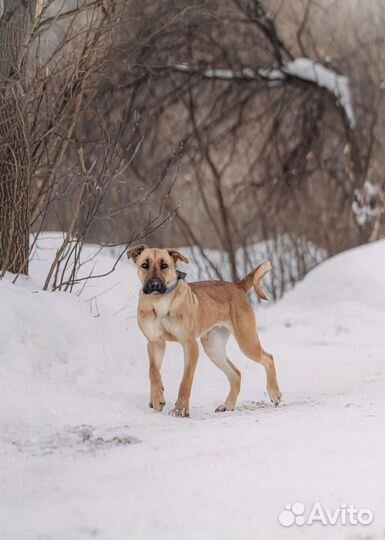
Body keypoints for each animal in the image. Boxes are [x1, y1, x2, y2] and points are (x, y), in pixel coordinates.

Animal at [127, 245, 280, 418]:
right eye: (145, 265)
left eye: (164, 265)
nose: (154, 285)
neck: (160, 303)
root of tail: (237, 286)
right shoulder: (155, 342)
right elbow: (153, 371)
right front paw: (157, 397)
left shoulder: (190, 345)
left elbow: (186, 380)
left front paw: (180, 410)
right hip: (213, 348)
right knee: (236, 374)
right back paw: (228, 405)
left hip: (246, 341)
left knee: (268, 358)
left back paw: (274, 393)